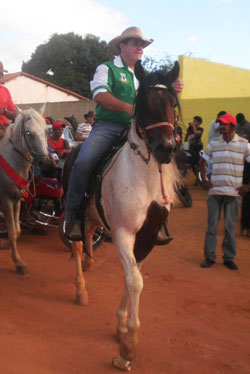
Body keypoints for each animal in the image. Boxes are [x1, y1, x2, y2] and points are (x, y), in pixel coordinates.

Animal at [0, 108, 49, 274]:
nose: (44, 162)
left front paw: (5, 245)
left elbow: (17, 230)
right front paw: (18, 263)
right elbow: (12, 232)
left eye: (46, 131)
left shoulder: (17, 200)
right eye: (28, 133)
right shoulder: (6, 200)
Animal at [68, 62, 181, 370]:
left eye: (172, 104)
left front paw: (121, 328)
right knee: (77, 243)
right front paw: (129, 345)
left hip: (94, 217)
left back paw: (89, 263)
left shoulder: (147, 238)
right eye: (144, 103)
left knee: (88, 235)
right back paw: (80, 290)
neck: (143, 179)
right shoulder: (123, 234)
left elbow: (132, 277)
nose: (166, 148)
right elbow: (135, 281)